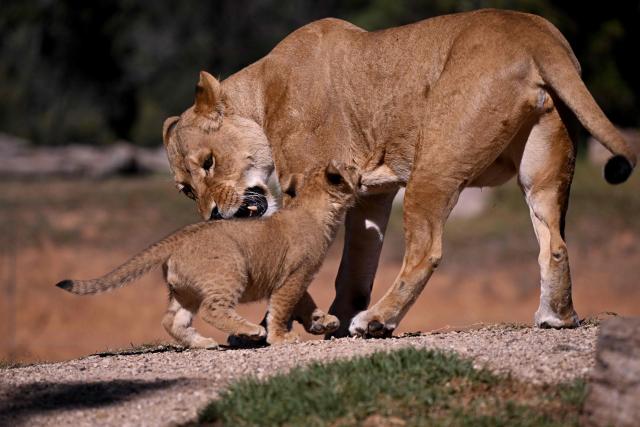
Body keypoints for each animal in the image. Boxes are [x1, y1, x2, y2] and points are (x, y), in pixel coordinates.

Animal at [56, 161, 358, 347]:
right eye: (351, 168)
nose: (360, 167)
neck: (317, 208)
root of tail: (179, 236)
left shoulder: (295, 277)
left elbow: (304, 302)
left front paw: (321, 321)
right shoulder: (295, 275)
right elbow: (283, 307)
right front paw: (280, 337)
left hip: (184, 290)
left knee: (172, 319)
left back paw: (202, 343)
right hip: (230, 271)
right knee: (212, 310)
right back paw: (250, 330)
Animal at [162, 9, 636, 338]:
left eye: (209, 162)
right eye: (185, 190)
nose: (213, 216)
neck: (260, 94)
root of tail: (536, 33)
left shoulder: (310, 185)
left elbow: (298, 261)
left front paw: (302, 322)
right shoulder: (369, 194)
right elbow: (354, 267)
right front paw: (335, 318)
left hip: (435, 164)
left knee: (426, 251)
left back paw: (377, 320)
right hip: (542, 171)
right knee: (553, 243)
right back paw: (557, 316)